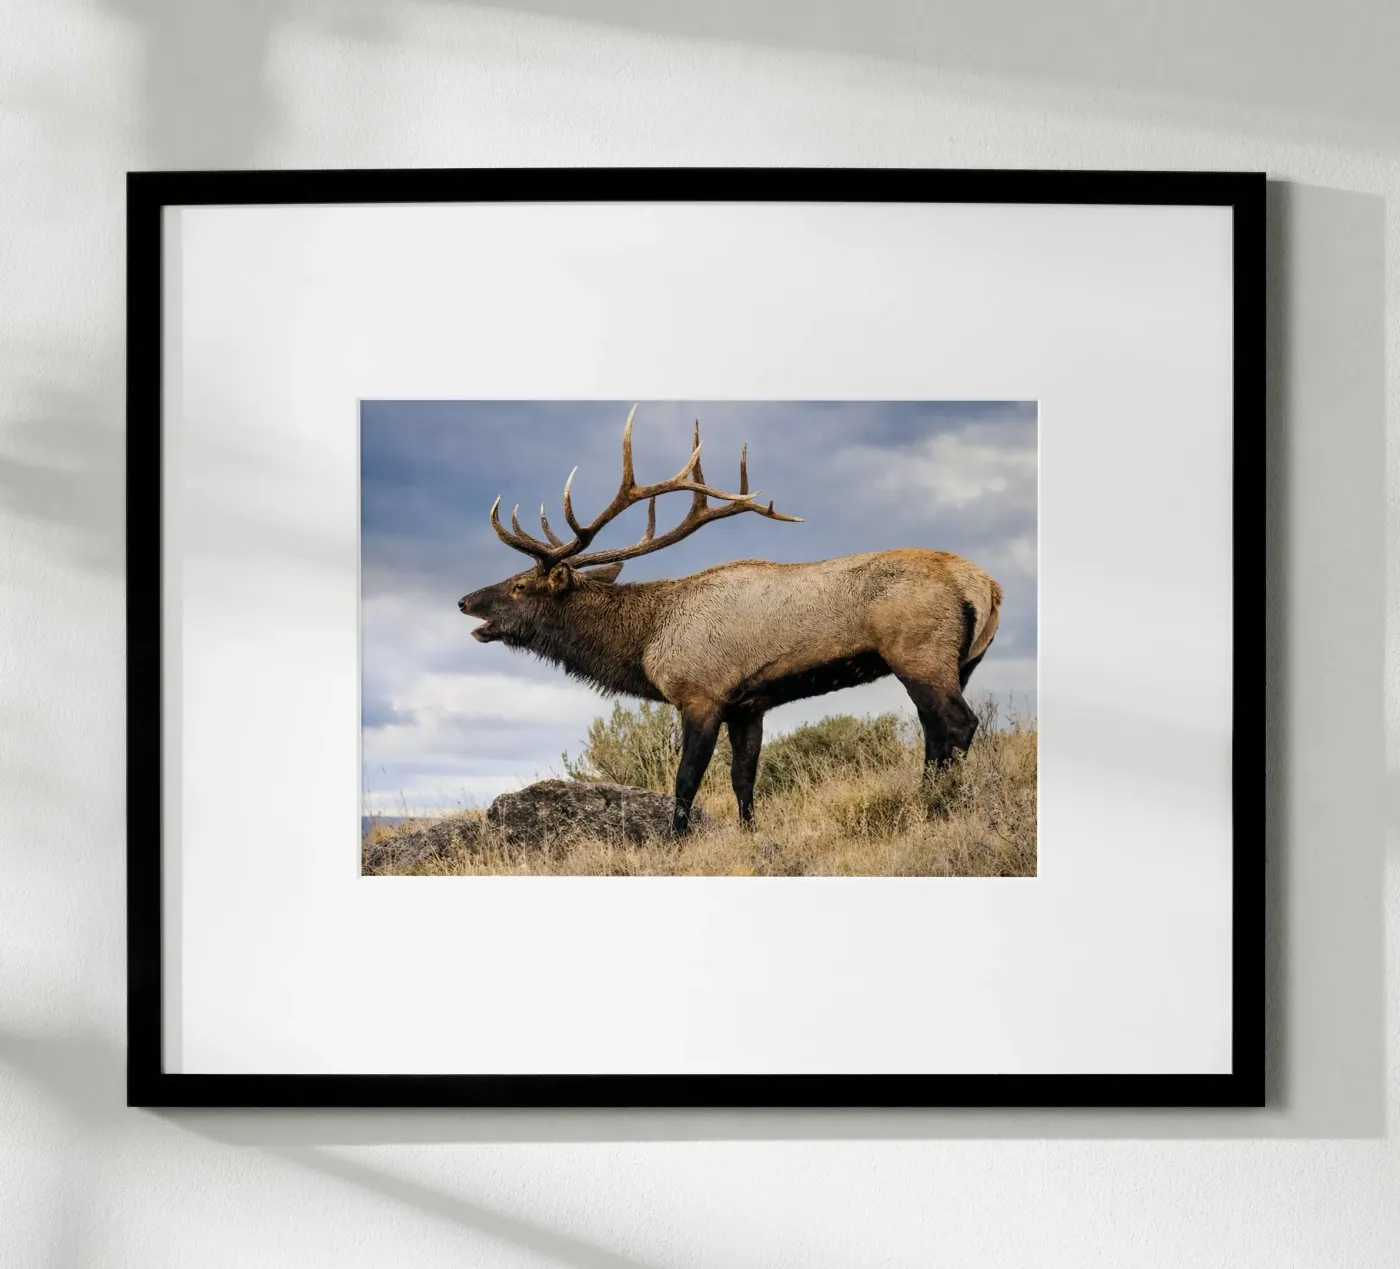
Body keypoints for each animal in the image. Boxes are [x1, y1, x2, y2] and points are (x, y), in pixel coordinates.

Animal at [459, 406, 1003, 835]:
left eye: (519, 586)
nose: (465, 601)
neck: (646, 643)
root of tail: (987, 586)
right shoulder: (749, 706)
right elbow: (744, 779)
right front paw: (748, 833)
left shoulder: (701, 694)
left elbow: (686, 780)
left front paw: (675, 841)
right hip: (963, 663)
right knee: (935, 732)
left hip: (919, 653)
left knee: (957, 725)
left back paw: (937, 807)